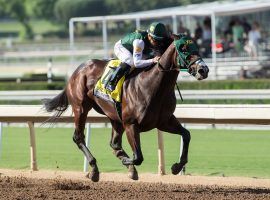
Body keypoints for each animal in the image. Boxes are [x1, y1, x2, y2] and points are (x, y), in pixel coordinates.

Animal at [43, 34, 209, 181]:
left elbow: (186, 134)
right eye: (183, 48)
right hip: (81, 108)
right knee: (79, 137)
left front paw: (176, 167)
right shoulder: (131, 124)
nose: (204, 70)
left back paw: (125, 167)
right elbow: (138, 157)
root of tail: (78, 70)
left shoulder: (164, 121)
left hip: (114, 116)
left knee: (114, 143)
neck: (153, 86)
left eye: (196, 46)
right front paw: (127, 162)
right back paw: (95, 170)